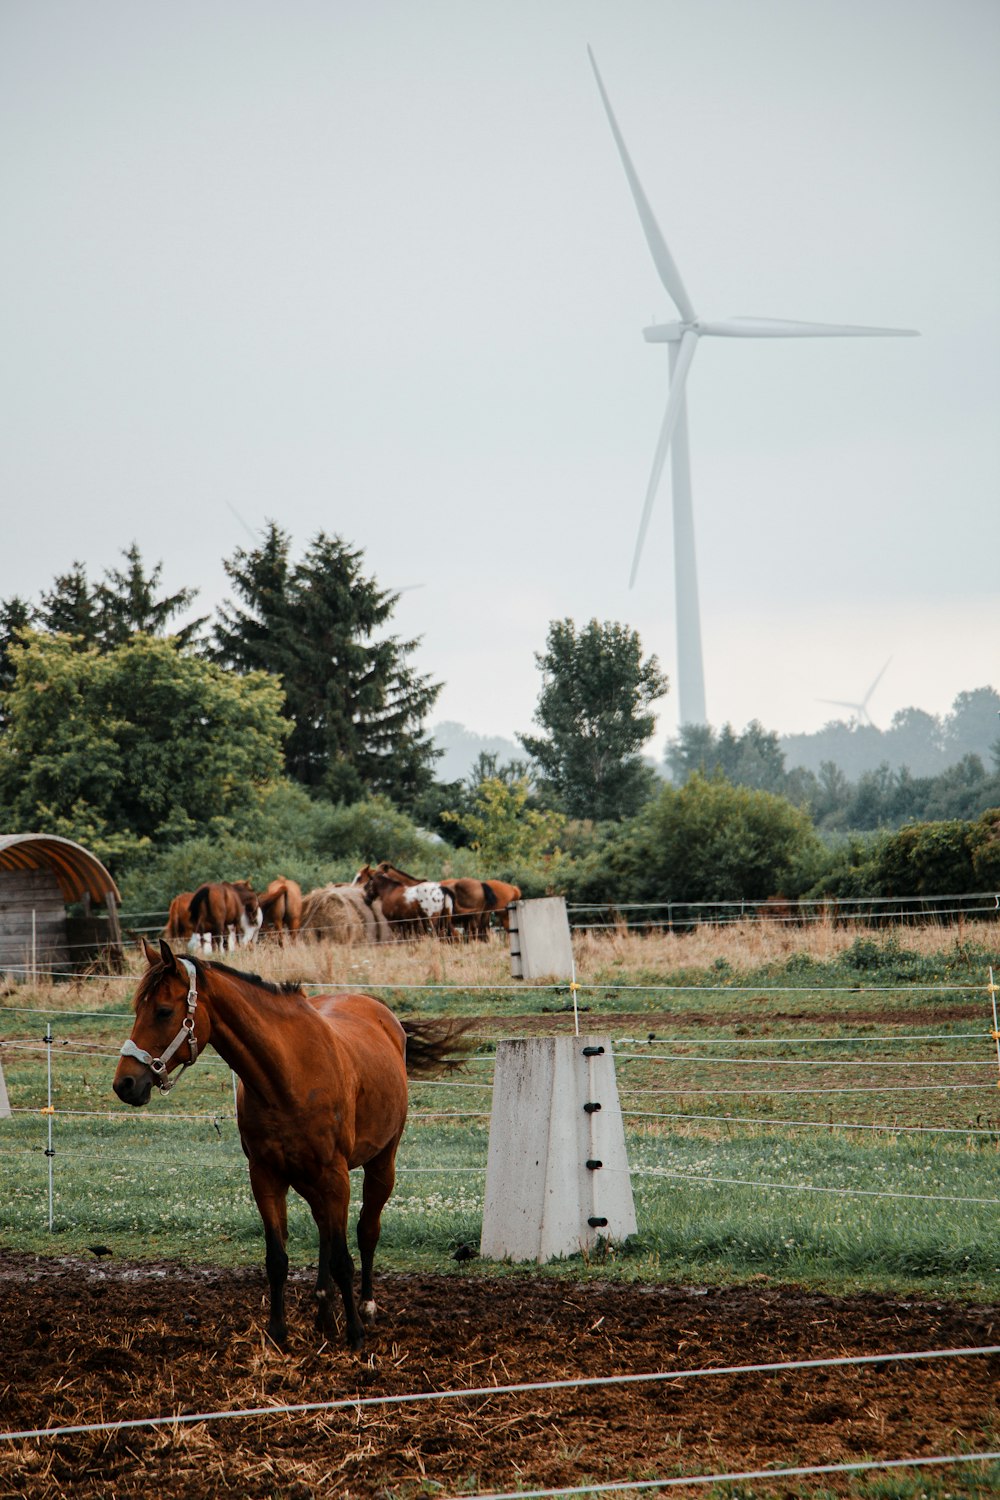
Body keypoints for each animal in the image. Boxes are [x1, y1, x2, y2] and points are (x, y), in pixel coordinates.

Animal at [111, 936, 470, 1350]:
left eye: (164, 1011)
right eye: (138, 1009)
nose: (125, 1084)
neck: (286, 1074)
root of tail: (383, 1015)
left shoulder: (335, 1176)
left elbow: (344, 1259)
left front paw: (355, 1334)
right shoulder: (266, 1177)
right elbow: (278, 1260)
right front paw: (278, 1333)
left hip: (380, 1163)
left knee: (366, 1231)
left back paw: (364, 1307)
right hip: (309, 1179)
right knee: (325, 1230)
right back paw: (323, 1312)